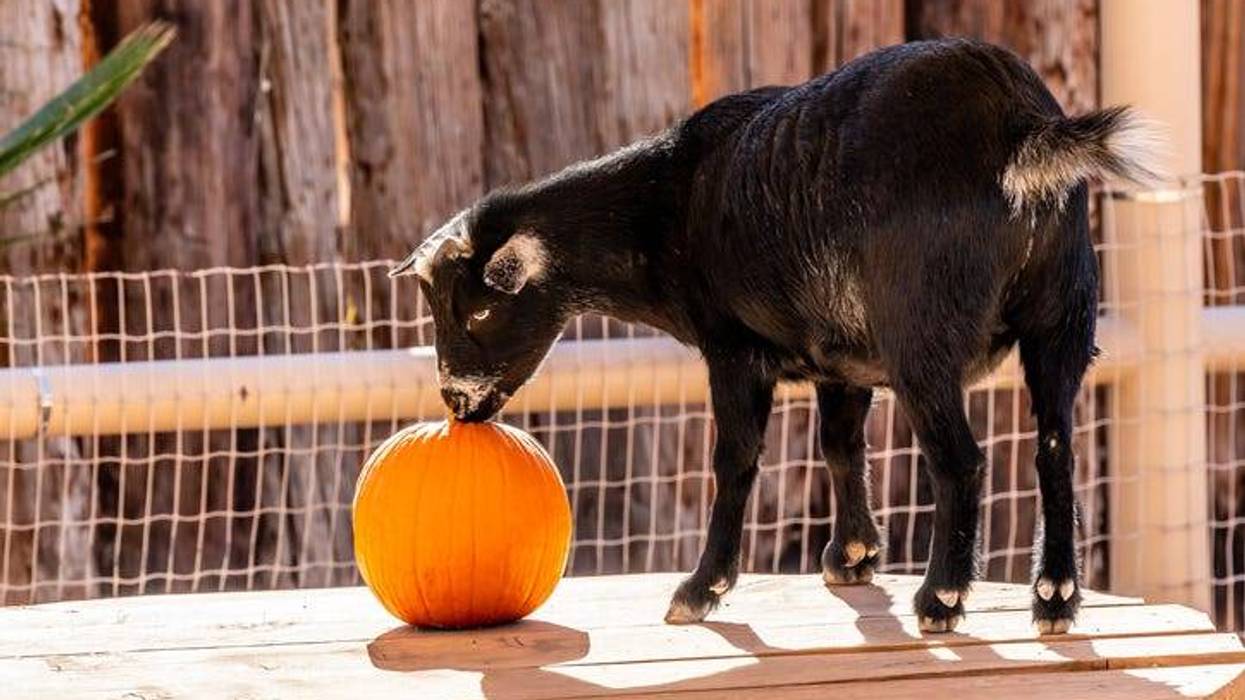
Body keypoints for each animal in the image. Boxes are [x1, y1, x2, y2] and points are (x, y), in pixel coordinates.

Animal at [391, 38, 1164, 633]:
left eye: (479, 313)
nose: (455, 401)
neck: (670, 203)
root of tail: (1017, 127)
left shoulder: (734, 348)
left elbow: (735, 459)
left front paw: (699, 590)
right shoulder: (842, 360)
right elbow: (840, 447)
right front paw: (852, 557)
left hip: (923, 331)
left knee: (963, 459)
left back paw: (942, 597)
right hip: (1063, 314)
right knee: (1055, 445)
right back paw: (1054, 597)